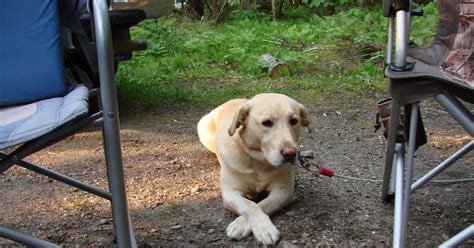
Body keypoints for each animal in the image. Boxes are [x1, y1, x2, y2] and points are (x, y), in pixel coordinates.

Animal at [197, 93, 312, 244]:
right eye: (267, 123)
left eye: (293, 121)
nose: (291, 153)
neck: (259, 163)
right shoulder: (230, 192)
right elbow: (249, 205)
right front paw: (262, 227)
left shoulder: (284, 191)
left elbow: (263, 205)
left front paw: (248, 225)